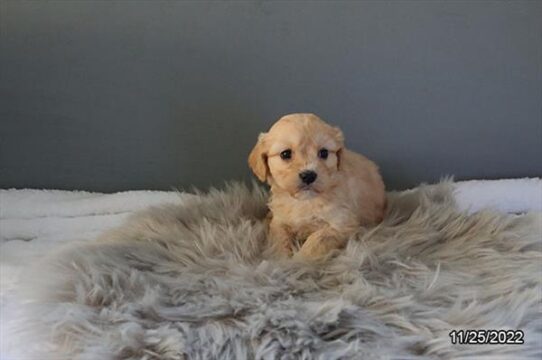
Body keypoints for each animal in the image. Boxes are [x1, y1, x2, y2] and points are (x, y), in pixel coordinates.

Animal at [249, 112, 388, 258]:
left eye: (324, 153)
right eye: (285, 154)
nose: (308, 175)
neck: (305, 201)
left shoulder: (341, 223)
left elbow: (316, 241)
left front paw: (299, 260)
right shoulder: (280, 221)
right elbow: (279, 238)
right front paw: (280, 257)